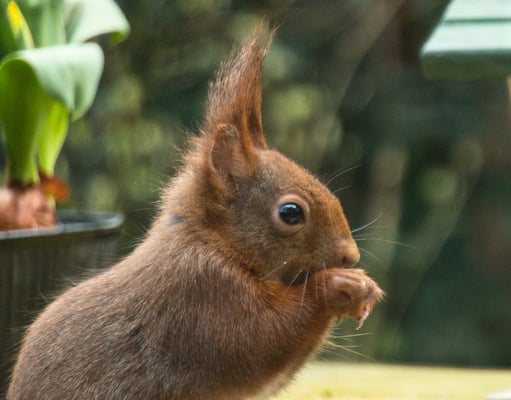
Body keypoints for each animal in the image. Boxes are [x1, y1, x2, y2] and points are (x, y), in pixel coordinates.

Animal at [7, 25, 384, 400]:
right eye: (291, 213)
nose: (350, 255)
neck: (211, 240)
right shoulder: (198, 296)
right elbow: (260, 341)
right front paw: (342, 285)